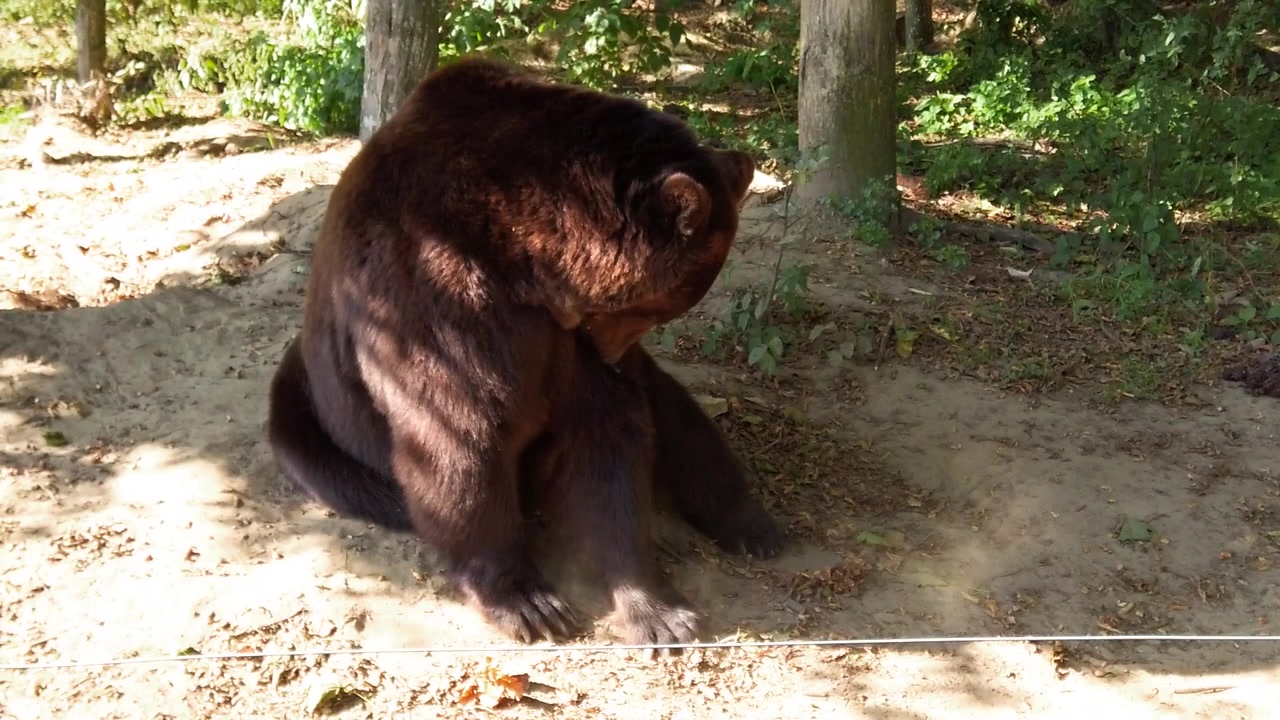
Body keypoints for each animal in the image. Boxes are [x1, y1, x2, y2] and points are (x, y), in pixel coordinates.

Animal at [265, 56, 782, 648]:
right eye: (655, 307)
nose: (614, 355)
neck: (521, 251)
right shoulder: (433, 294)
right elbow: (458, 438)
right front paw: (530, 603)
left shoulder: (558, 340)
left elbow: (610, 439)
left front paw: (658, 610)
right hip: (324, 430)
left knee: (681, 421)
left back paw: (752, 525)